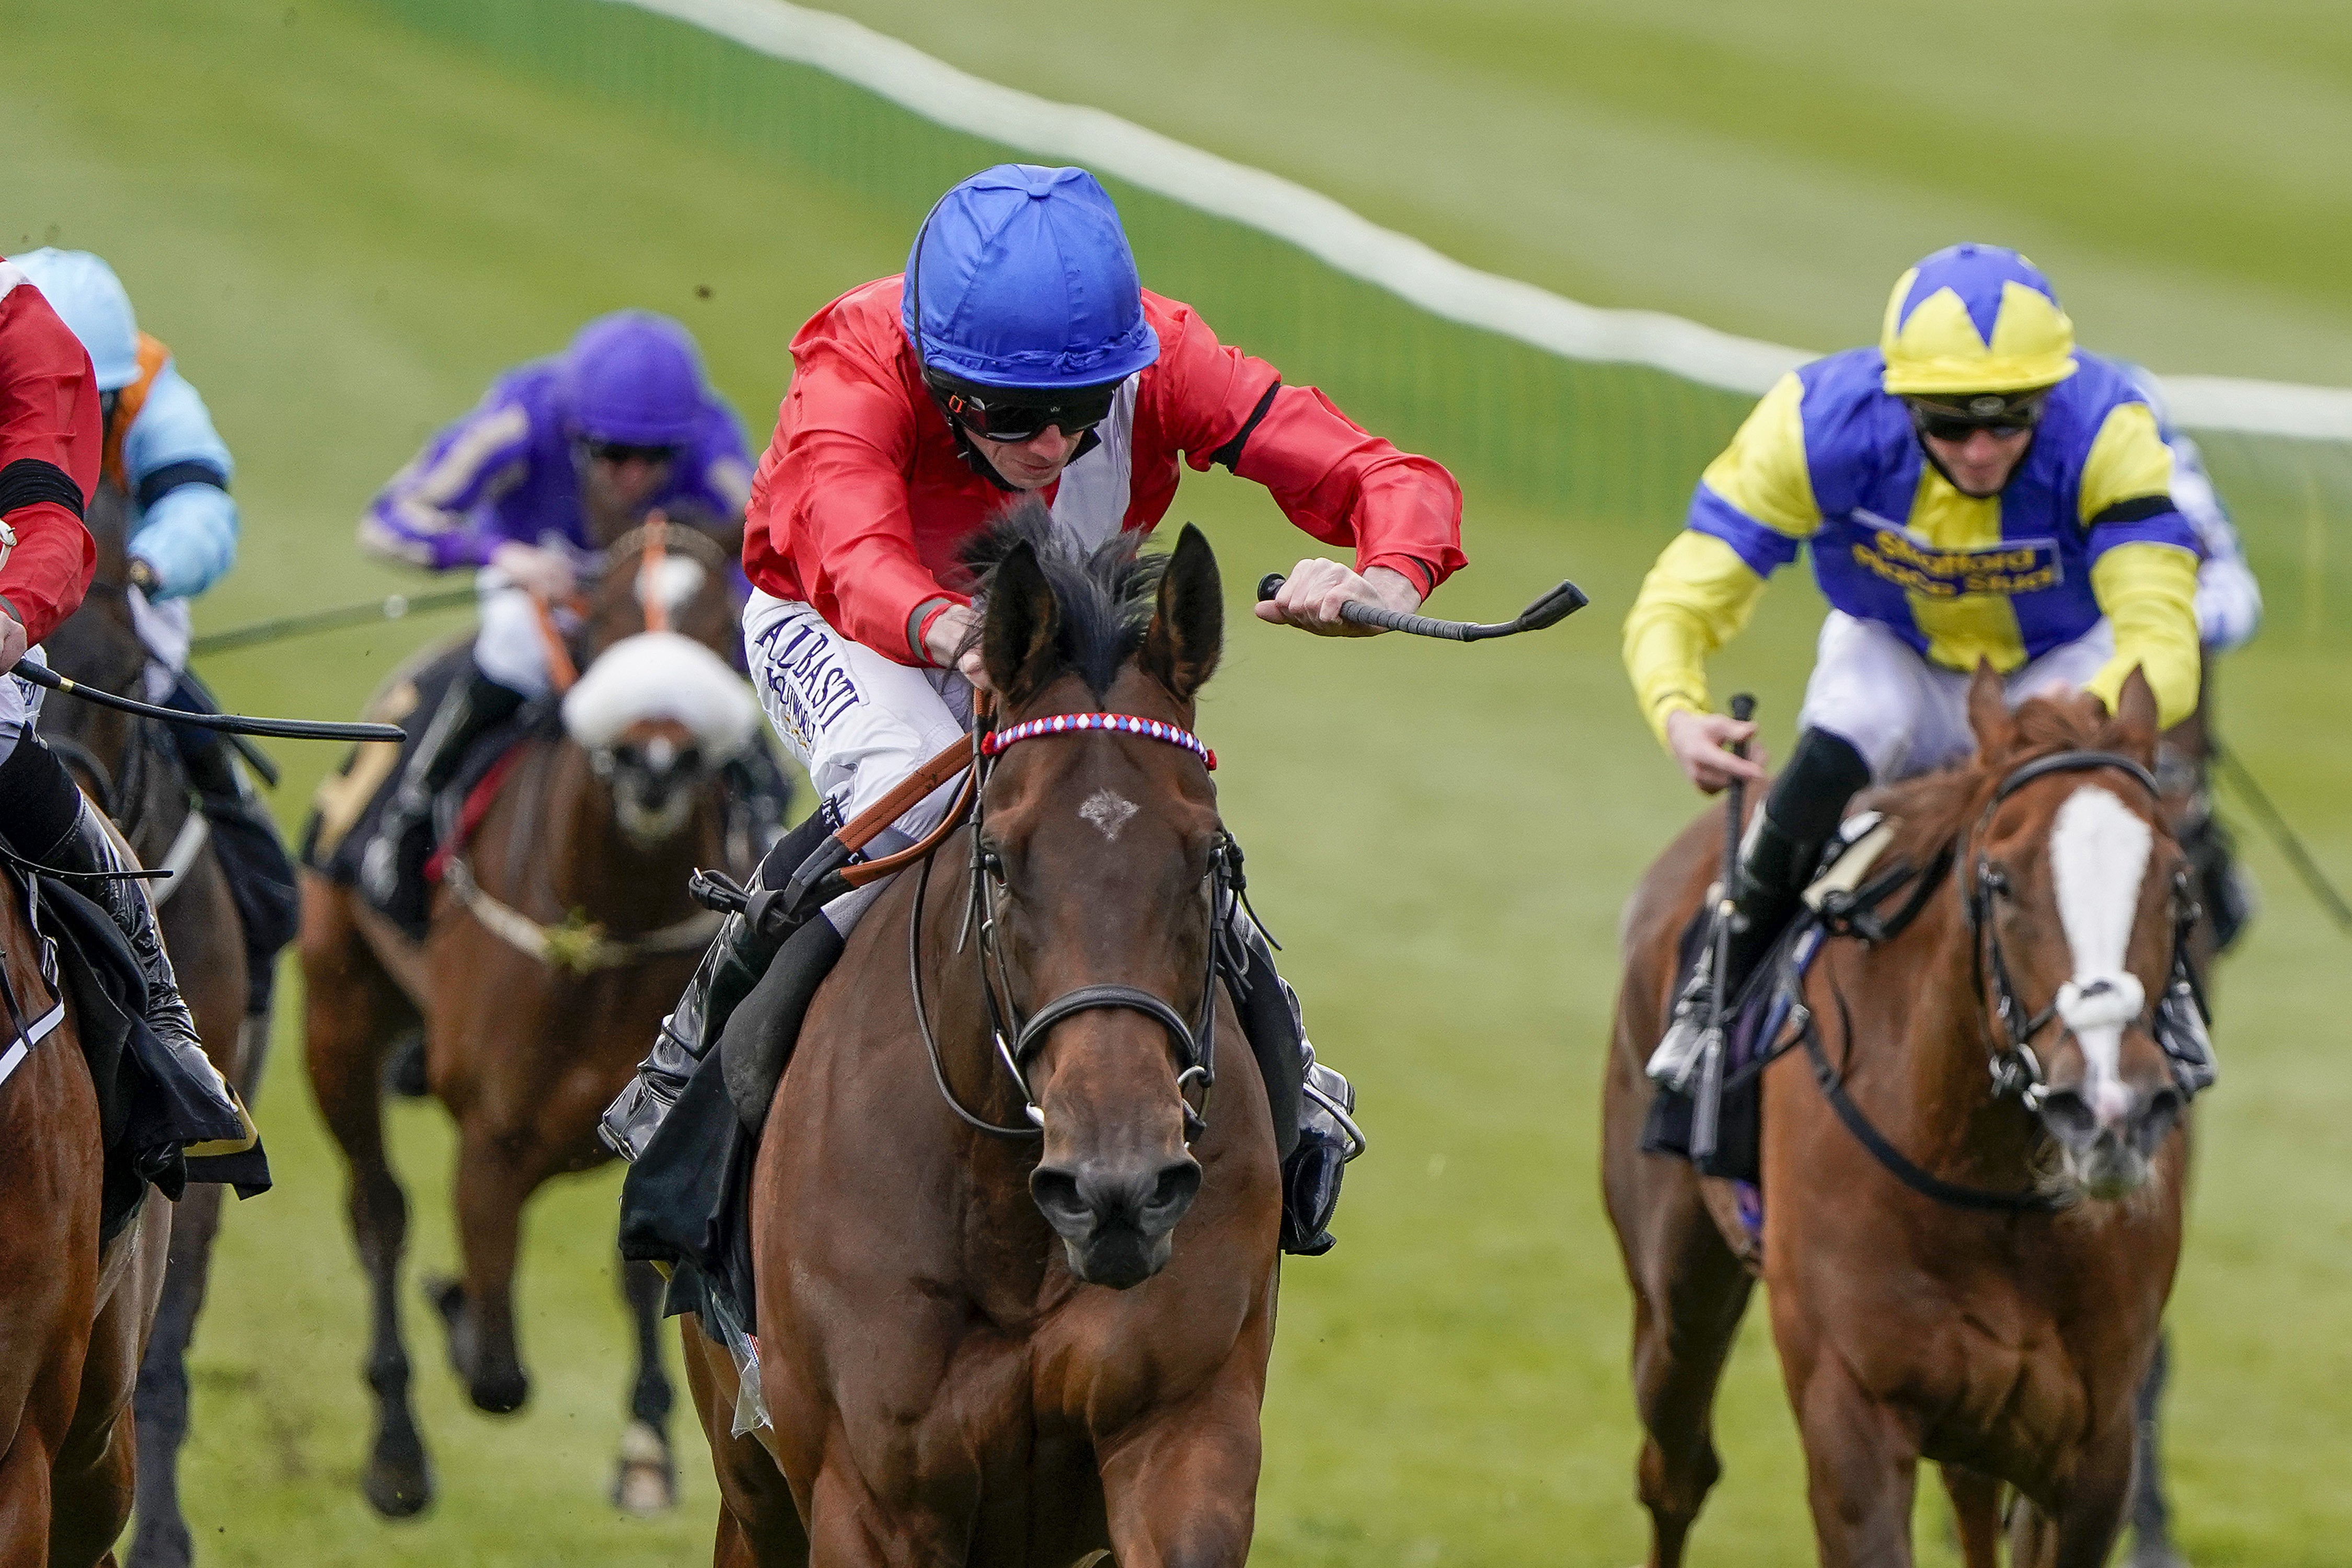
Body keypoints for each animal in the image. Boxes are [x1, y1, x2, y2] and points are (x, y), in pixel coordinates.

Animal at [303, 524, 762, 1523]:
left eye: (722, 633)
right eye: (612, 616)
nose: (656, 764)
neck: (608, 920)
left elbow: (635, 1275)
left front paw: (644, 1450)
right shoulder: (493, 1133)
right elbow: (497, 1371)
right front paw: (458, 1318)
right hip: (337, 1014)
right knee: (379, 1210)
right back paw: (397, 1451)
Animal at [1609, 667, 2192, 1568]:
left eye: (2174, 883)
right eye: (2000, 879)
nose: (2111, 1107)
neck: (1980, 1169)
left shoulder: (2093, 1450)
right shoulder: (1852, 1418)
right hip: (1674, 1292)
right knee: (1675, 1470)